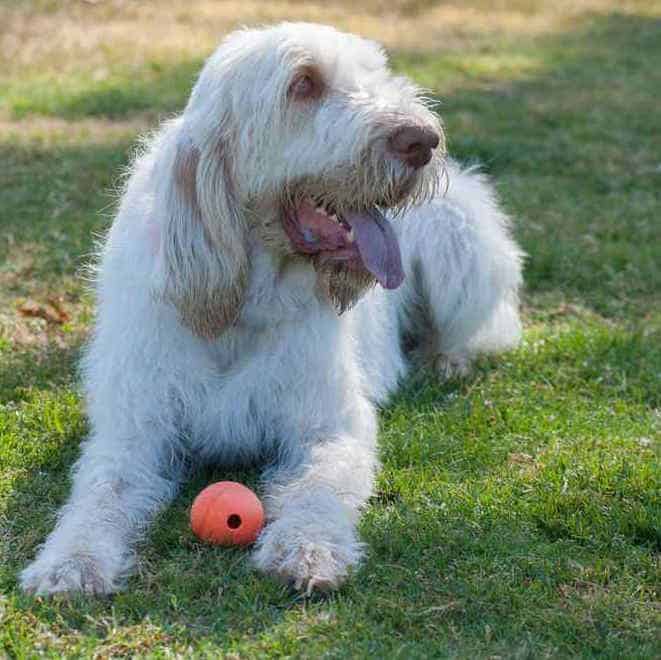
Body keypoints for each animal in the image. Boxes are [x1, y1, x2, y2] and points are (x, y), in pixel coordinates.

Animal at [20, 23, 524, 596]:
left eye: (374, 76)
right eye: (303, 84)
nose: (423, 140)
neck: (245, 309)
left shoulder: (328, 428)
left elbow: (317, 488)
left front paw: (307, 548)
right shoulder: (133, 432)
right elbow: (99, 495)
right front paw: (70, 562)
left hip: (458, 241)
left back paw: (448, 358)